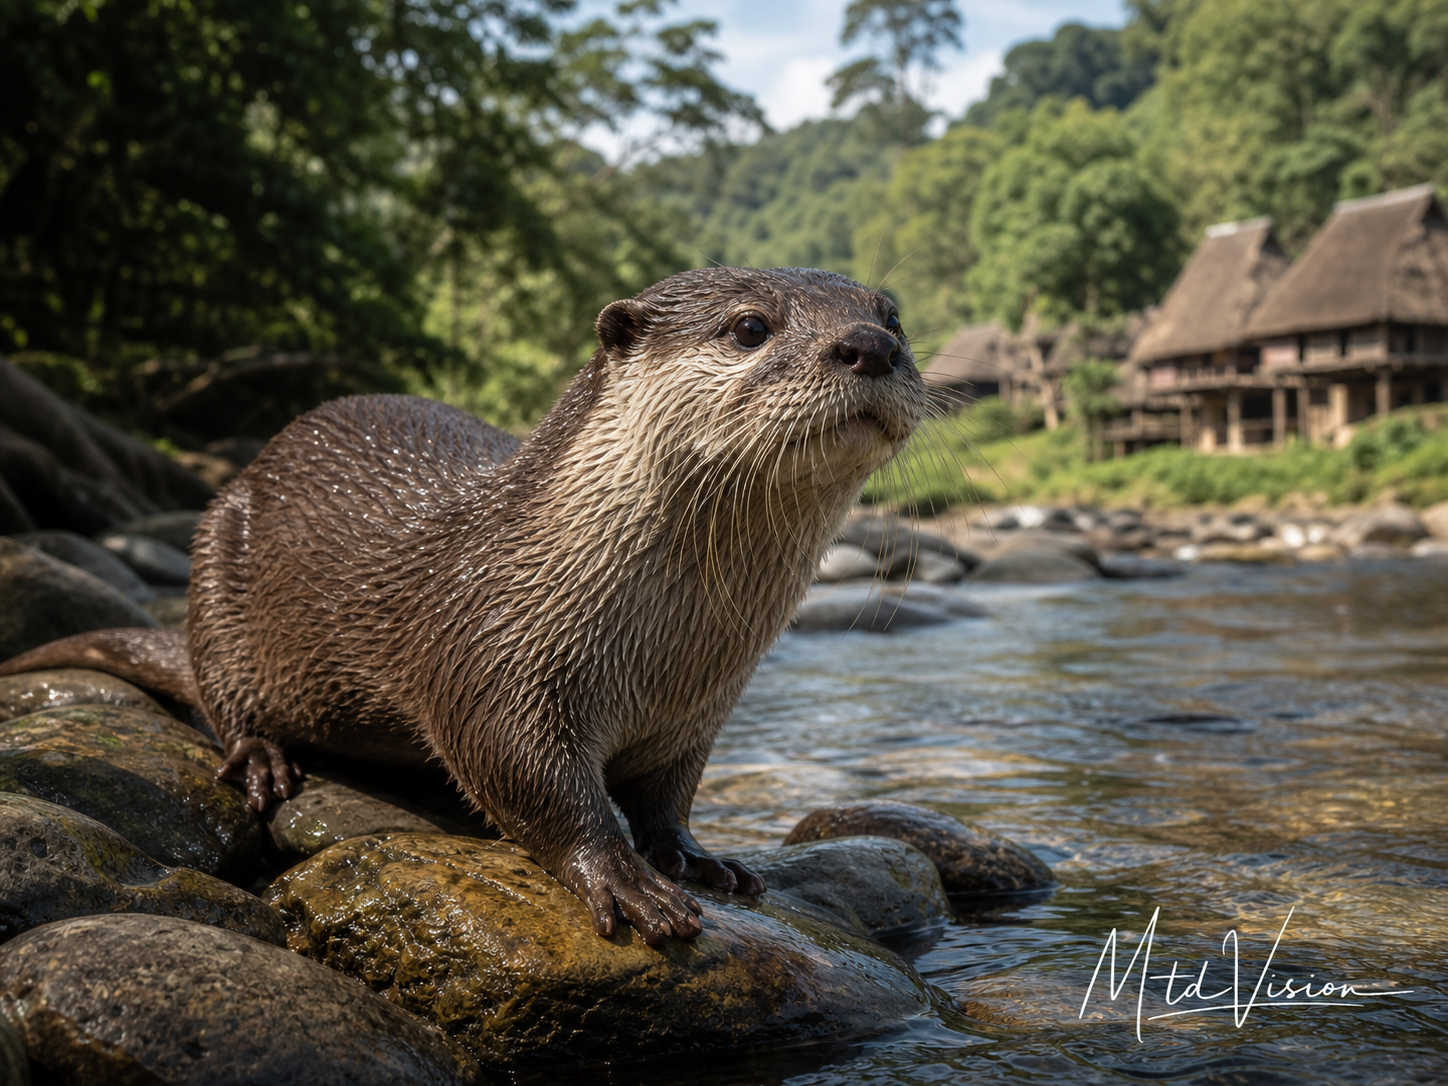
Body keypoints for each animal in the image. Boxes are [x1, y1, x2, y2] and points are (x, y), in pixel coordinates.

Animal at [0, 266, 929, 944]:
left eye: (894, 316)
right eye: (748, 327)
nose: (868, 346)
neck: (667, 649)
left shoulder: (698, 713)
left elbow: (669, 795)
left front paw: (699, 858)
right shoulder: (491, 649)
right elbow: (525, 772)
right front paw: (623, 878)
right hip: (217, 560)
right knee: (224, 698)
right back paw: (263, 759)